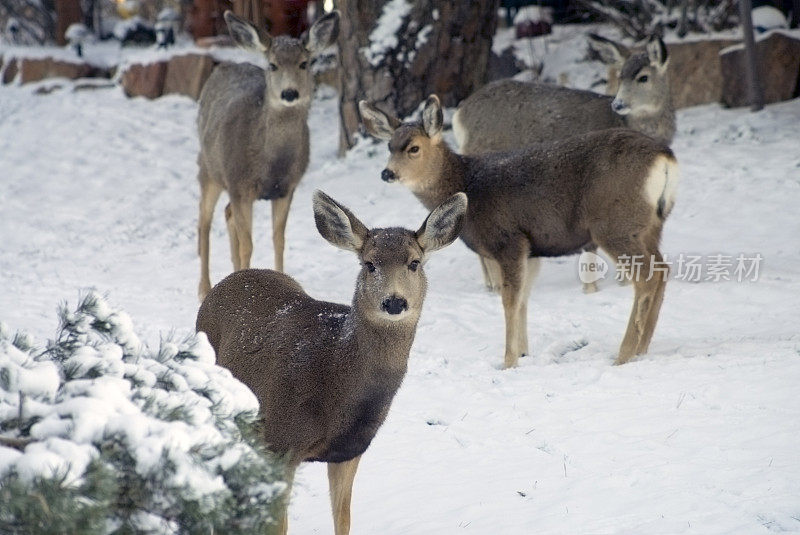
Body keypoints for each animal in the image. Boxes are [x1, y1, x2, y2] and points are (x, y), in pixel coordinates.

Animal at [196, 191, 466, 532]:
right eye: (370, 264)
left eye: (414, 263)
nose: (394, 302)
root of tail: (228, 281)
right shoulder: (280, 442)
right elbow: (279, 525)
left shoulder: (349, 450)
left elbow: (343, 519)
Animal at [198, 9, 340, 302]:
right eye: (273, 65)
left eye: (304, 63)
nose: (289, 93)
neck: (271, 164)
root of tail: (223, 67)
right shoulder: (239, 185)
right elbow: (248, 244)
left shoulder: (286, 189)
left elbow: (279, 240)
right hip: (210, 168)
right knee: (203, 222)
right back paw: (204, 288)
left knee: (226, 214)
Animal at [360, 94, 680, 368]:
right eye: (389, 146)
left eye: (413, 147)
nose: (387, 173)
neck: (469, 185)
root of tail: (664, 157)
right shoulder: (532, 248)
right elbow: (524, 297)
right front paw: (524, 353)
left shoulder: (508, 239)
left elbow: (510, 299)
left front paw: (508, 361)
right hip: (651, 224)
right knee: (661, 270)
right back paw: (642, 348)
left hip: (614, 225)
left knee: (646, 277)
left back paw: (624, 353)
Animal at [454, 34, 672, 294]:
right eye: (620, 76)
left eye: (643, 77)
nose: (618, 104)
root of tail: (460, 116)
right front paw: (603, 285)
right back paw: (495, 284)